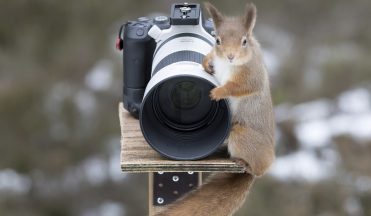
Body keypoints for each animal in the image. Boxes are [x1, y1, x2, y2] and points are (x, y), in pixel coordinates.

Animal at [155, 2, 274, 216]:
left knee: (256, 169)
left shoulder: (251, 74)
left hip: (243, 137)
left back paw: (244, 163)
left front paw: (218, 92)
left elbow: (240, 87)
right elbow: (209, 57)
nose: (230, 56)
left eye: (244, 41)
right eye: (217, 40)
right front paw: (205, 63)